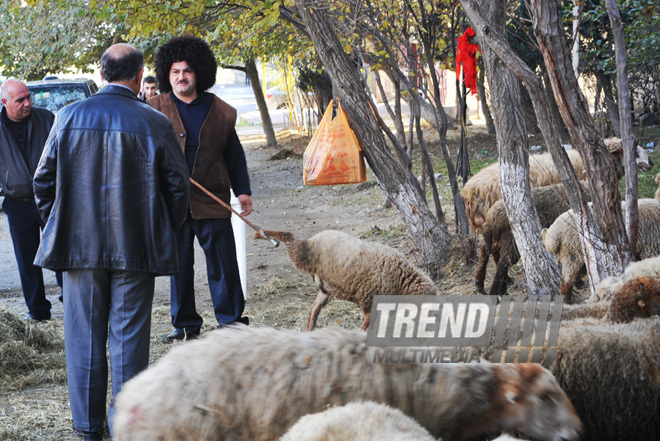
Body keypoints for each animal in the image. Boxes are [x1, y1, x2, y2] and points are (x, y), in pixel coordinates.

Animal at [253, 230, 438, 330]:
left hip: (325, 288)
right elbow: (366, 326)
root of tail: (314, 238)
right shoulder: (369, 300)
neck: (401, 281)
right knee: (288, 236)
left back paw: (309, 330)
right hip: (301, 253)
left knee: (313, 311)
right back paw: (261, 234)